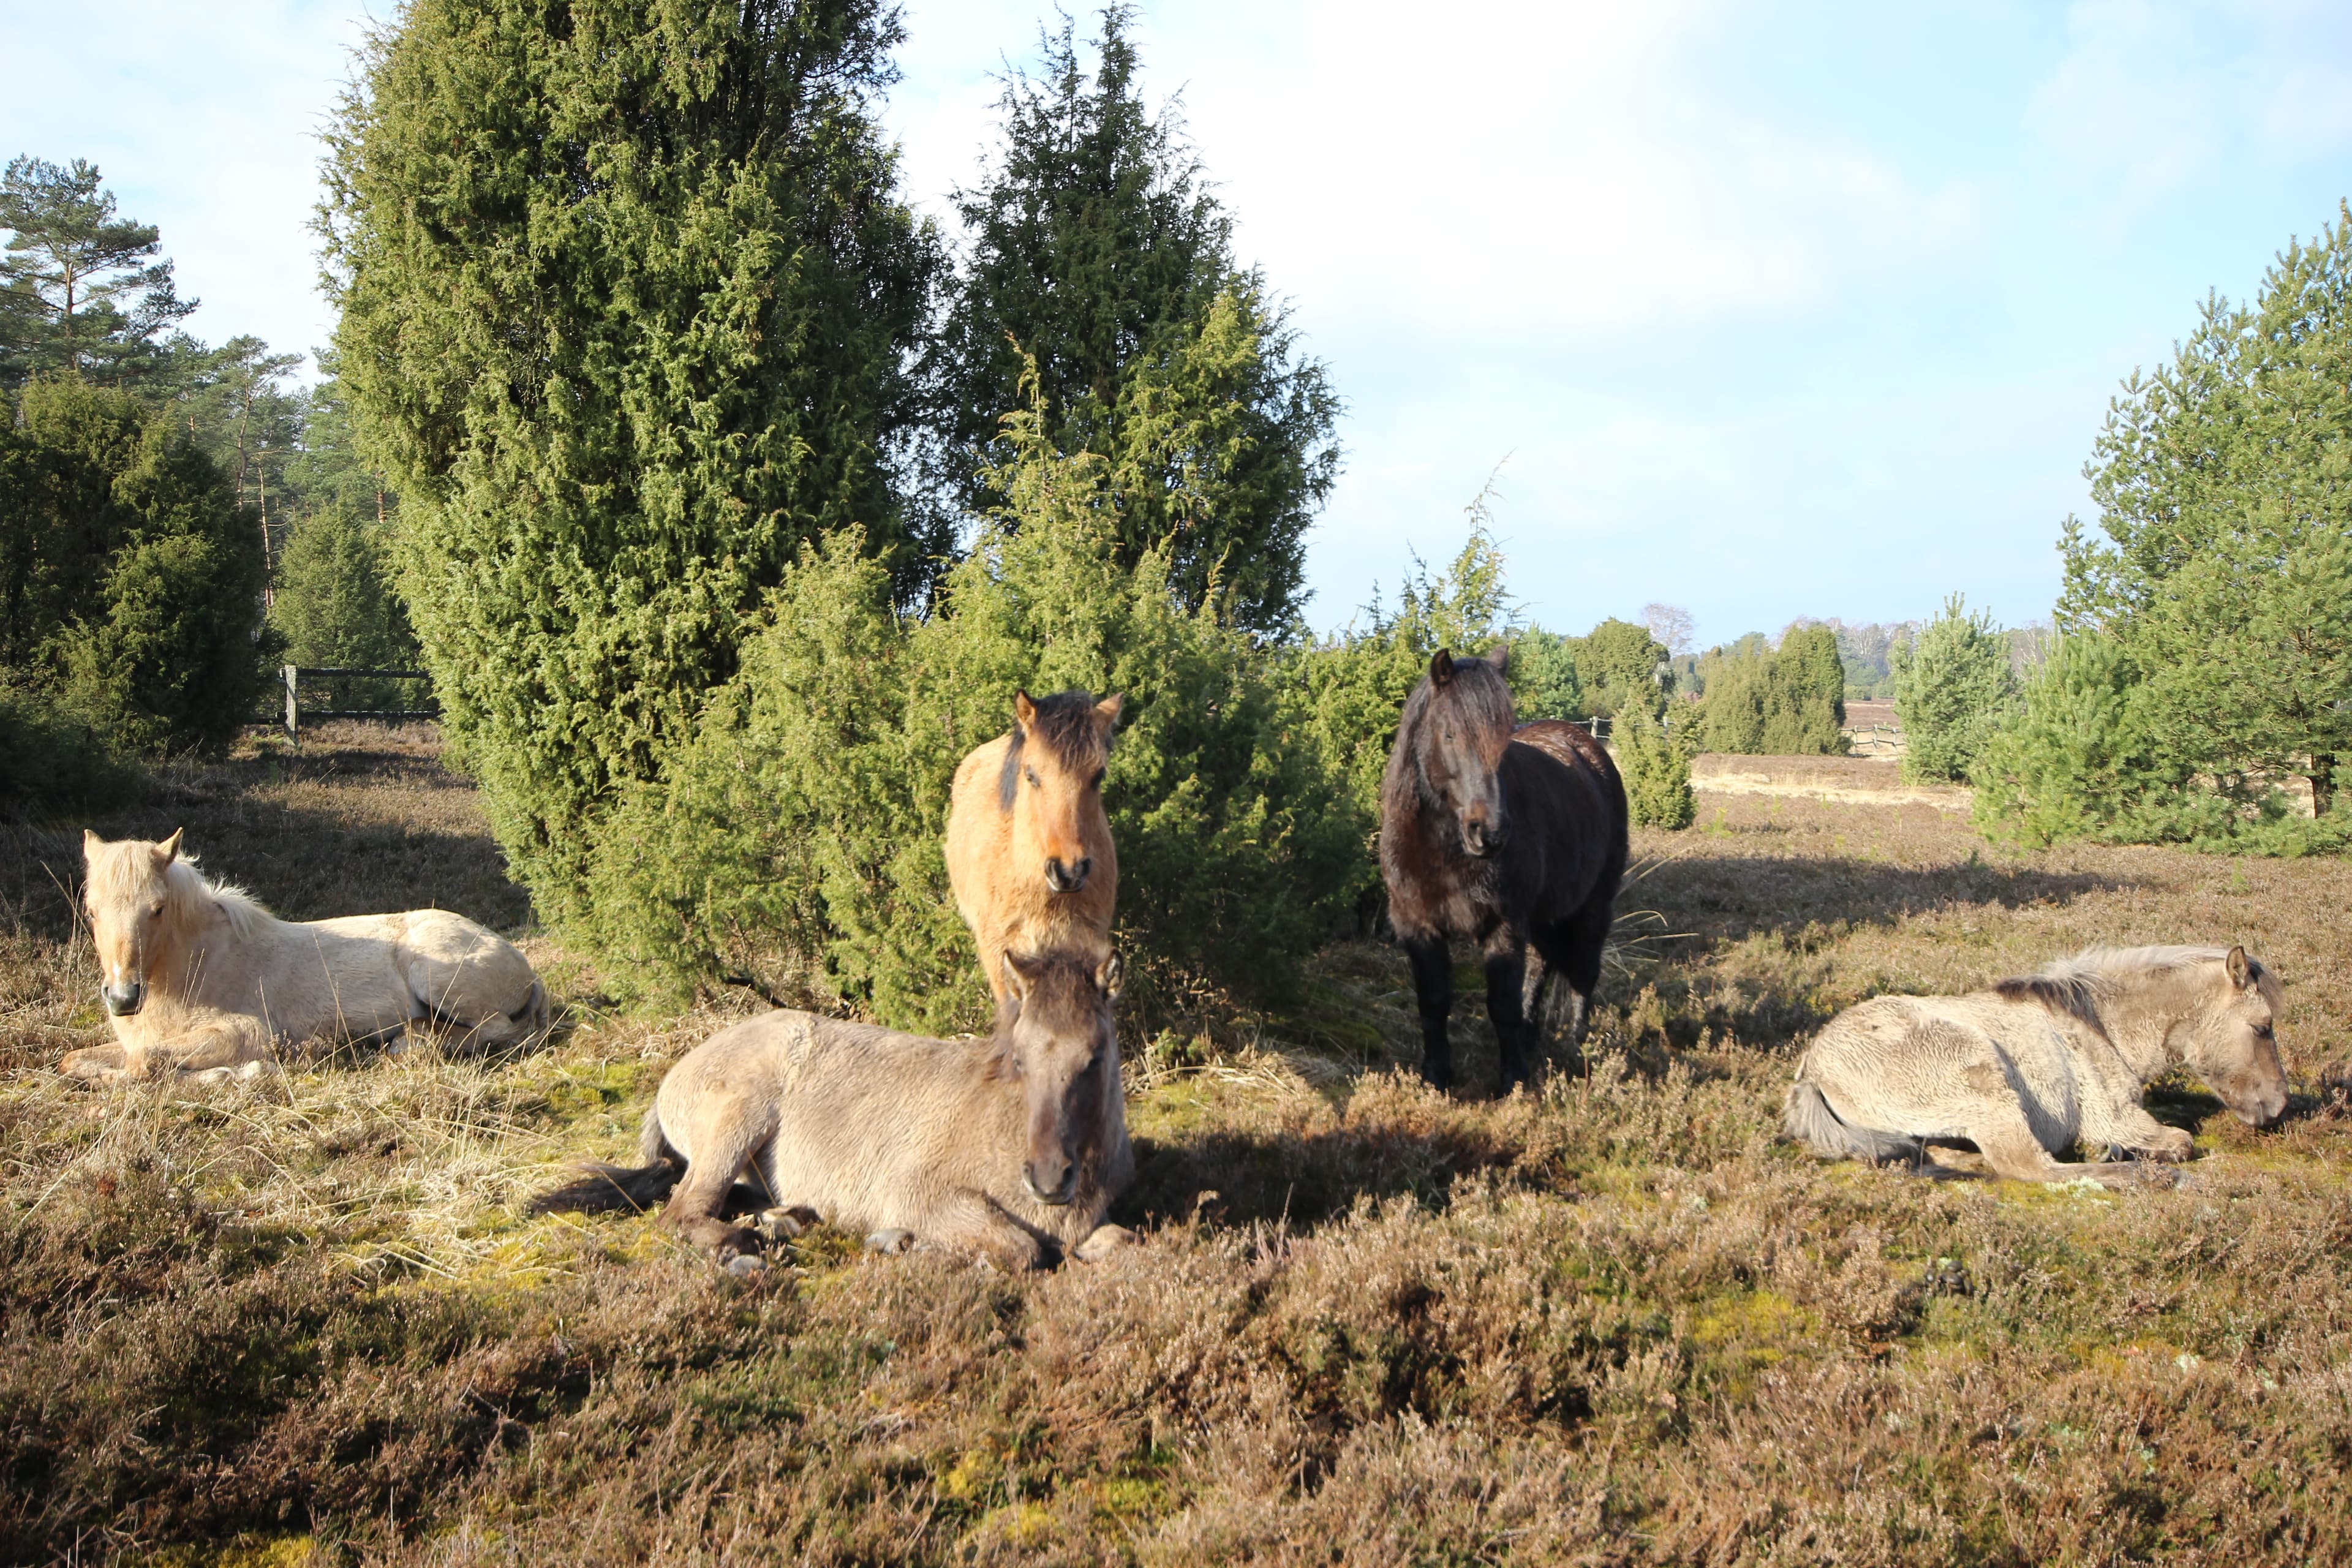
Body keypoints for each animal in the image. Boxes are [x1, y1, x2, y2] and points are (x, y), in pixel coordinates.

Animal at [64, 830, 548, 1083]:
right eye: (91, 910)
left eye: (158, 908)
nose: (123, 998)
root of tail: (520, 962)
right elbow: (81, 1061)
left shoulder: (246, 1032)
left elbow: (149, 1062)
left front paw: (245, 1073)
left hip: (437, 978)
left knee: (496, 1028)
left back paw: (408, 1044)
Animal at [530, 948, 1136, 1273]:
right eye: (1019, 1057)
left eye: (1095, 1056)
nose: (1049, 1178)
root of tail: (675, 1075)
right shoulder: (921, 1191)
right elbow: (1021, 1249)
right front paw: (908, 1244)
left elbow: (1121, 1242)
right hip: (739, 1119)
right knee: (682, 1210)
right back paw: (743, 1243)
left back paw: (785, 1219)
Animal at [1380, 646, 1630, 1093]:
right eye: (1449, 734)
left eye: (1504, 737)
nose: (1491, 833)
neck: (1445, 850)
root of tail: (1587, 747)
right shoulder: (1417, 925)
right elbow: (1434, 1001)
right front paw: (1436, 1076)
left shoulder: (1505, 924)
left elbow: (1502, 1004)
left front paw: (1513, 1081)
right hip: (1546, 916)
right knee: (1542, 966)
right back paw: (1532, 1039)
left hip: (1593, 906)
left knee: (1583, 971)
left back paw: (1576, 1047)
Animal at [1784, 945, 2288, 1185]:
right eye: (2262, 1026)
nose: (2280, 1105)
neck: (2098, 1026)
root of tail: (1815, 1068)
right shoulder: (2119, 1119)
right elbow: (2183, 1142)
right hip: (1985, 1081)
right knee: (2030, 1167)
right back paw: (2144, 1174)